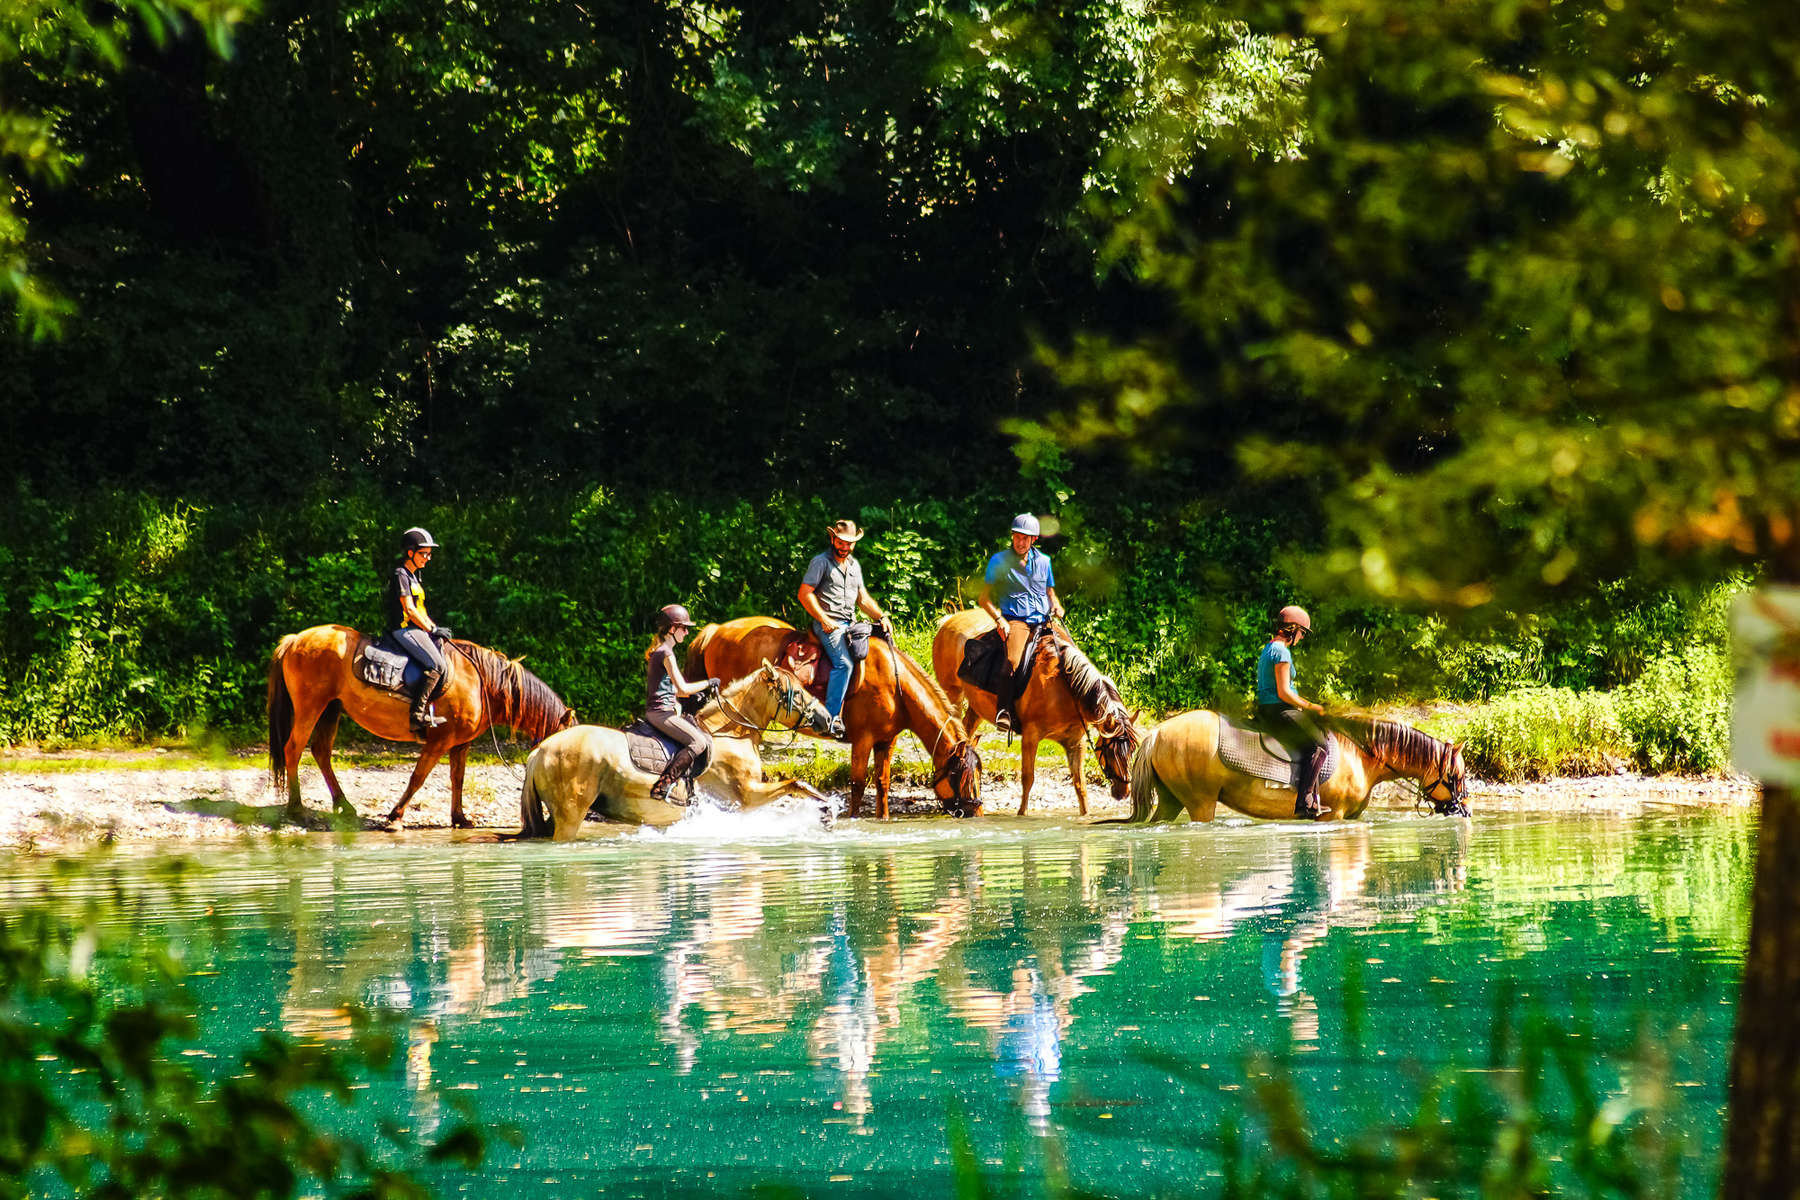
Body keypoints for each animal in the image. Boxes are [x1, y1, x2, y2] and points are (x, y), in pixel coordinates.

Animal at [266, 626, 572, 831]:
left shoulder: (460, 744)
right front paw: (395, 817)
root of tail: (295, 640)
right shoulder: (439, 741)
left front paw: (460, 818)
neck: (481, 681)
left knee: (321, 752)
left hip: (331, 709)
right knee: (293, 750)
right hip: (310, 707)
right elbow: (418, 778)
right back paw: (297, 809)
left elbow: (457, 779)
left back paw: (343, 805)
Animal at [514, 658, 835, 834]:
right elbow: (795, 783)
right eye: (797, 693)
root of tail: (539, 751)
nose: (834, 722)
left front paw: (826, 811)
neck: (732, 733)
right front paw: (829, 809)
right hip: (570, 814)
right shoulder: (747, 796)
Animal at [684, 615, 986, 820]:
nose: (977, 812)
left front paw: (883, 818)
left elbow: (882, 783)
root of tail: (716, 630)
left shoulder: (886, 740)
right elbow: (857, 784)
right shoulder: (863, 739)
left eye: (978, 773)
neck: (895, 685)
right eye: (959, 774)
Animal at [928, 611, 1137, 816]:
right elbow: (1028, 778)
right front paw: (1022, 814)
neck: (1065, 688)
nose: (1124, 792)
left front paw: (1085, 815)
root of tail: (950, 621)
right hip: (952, 694)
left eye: (1132, 750)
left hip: (976, 707)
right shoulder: (1031, 736)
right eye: (1111, 751)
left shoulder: (1075, 743)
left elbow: (1080, 785)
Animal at [1108, 712, 1476, 827]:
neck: (1361, 756)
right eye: (1457, 776)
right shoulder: (1333, 816)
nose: (1464, 811)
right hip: (1200, 803)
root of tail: (1158, 733)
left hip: (1171, 801)